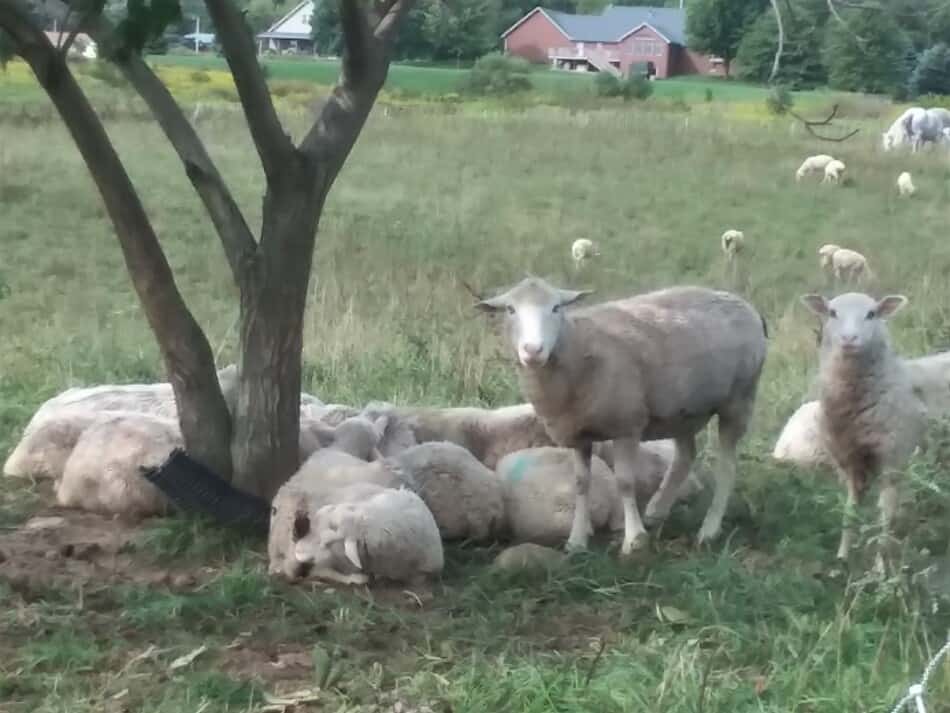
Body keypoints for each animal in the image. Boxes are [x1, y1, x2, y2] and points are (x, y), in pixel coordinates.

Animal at [472, 276, 768, 552]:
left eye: (556, 308)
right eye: (510, 309)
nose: (532, 350)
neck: (578, 347)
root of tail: (746, 305)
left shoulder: (626, 424)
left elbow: (625, 482)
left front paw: (633, 540)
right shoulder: (578, 433)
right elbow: (580, 484)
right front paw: (577, 540)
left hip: (739, 398)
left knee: (727, 466)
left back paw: (709, 529)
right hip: (681, 410)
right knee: (685, 456)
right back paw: (657, 510)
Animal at [804, 292, 928, 564]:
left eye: (872, 314)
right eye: (832, 312)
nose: (849, 339)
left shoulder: (892, 459)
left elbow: (884, 516)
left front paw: (880, 565)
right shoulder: (852, 461)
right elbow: (849, 510)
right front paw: (842, 557)